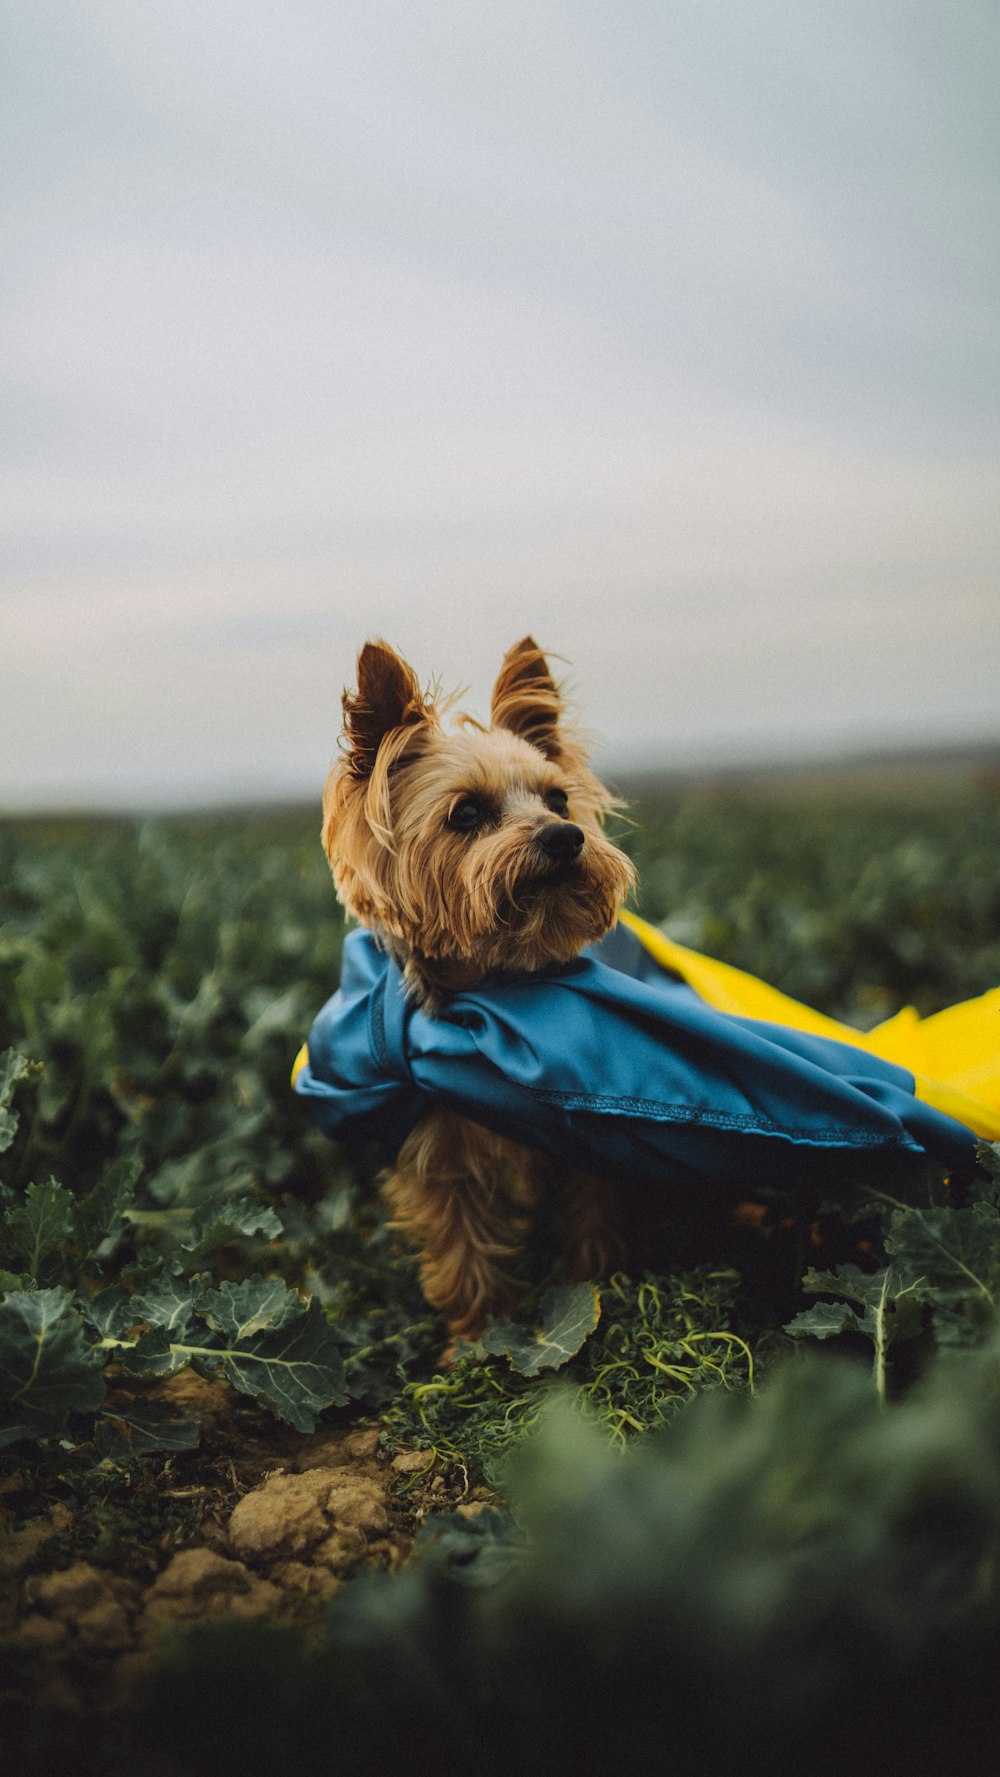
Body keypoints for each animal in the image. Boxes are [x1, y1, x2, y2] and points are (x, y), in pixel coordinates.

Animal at [325, 632, 639, 1336]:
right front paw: (479, 1338)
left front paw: (594, 1292)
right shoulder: (437, 1152)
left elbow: (593, 1215)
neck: (494, 989)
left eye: (559, 800)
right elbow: (462, 1247)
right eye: (466, 812)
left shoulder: (591, 1138)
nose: (566, 836)